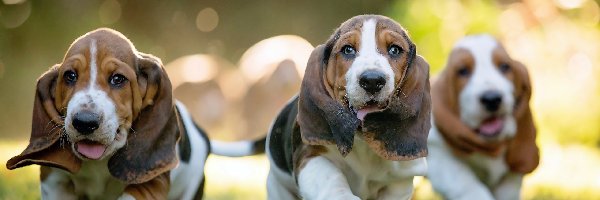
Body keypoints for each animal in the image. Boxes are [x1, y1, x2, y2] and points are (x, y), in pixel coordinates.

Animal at [268, 14, 432, 199]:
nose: (372, 80)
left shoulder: (399, 182)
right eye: (348, 50)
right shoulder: (311, 154)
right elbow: (331, 179)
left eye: (394, 50)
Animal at [426, 34, 540, 200]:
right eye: (462, 71)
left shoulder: (510, 179)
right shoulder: (441, 160)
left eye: (504, 67)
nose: (492, 99)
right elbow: (470, 188)